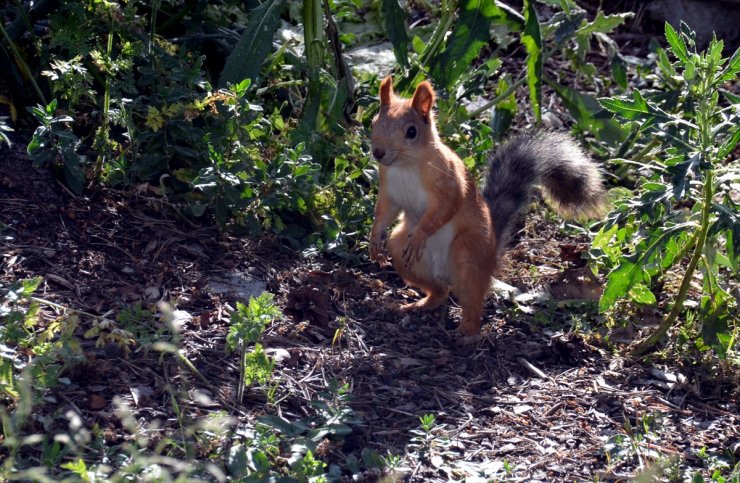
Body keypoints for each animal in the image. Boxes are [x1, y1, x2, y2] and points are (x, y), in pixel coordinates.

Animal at [370, 76, 608, 336]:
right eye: (374, 122)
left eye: (411, 132)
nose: (378, 152)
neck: (406, 165)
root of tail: (492, 254)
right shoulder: (389, 190)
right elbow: (383, 213)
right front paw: (374, 241)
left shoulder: (448, 184)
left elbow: (444, 209)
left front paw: (420, 236)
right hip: (401, 251)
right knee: (439, 291)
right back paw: (418, 304)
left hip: (468, 252)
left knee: (473, 299)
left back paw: (467, 333)